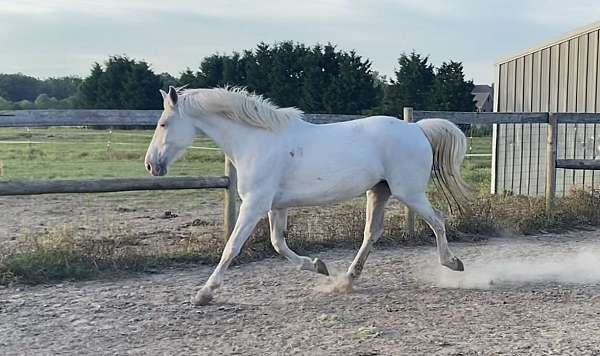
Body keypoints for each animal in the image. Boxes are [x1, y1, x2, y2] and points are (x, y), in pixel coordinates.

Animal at [144, 86, 468, 306]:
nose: (150, 165)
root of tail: (416, 128)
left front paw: (204, 294)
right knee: (371, 234)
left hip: (408, 192)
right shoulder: (275, 206)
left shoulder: (254, 204)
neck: (256, 142)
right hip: (379, 191)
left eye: (163, 124)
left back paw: (453, 263)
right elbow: (278, 243)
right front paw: (318, 267)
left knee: (438, 221)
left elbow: (232, 247)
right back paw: (346, 280)